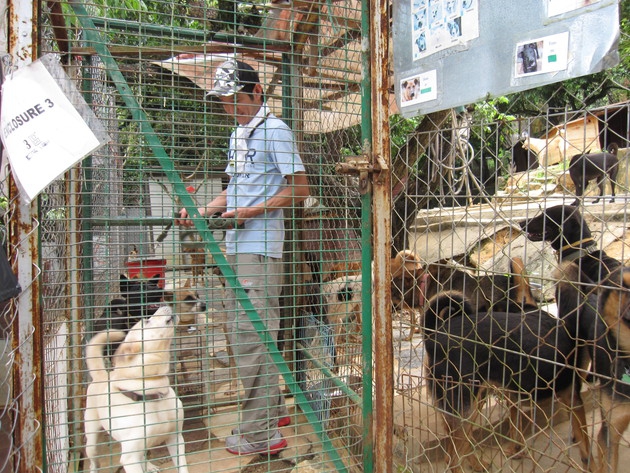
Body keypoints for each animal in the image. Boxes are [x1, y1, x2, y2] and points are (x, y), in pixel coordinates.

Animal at [86, 306, 190, 472]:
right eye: (146, 321)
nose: (166, 305)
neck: (153, 392)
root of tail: (101, 375)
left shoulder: (176, 438)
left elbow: (182, 467)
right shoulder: (129, 458)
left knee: (143, 456)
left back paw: (149, 466)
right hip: (92, 442)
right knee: (93, 462)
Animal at [422, 288, 596, 472]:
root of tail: (434, 336)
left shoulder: (513, 394)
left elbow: (515, 425)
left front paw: (516, 450)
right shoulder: (573, 397)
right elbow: (586, 445)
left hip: (472, 401)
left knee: (457, 445)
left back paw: (477, 464)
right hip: (465, 404)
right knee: (452, 458)